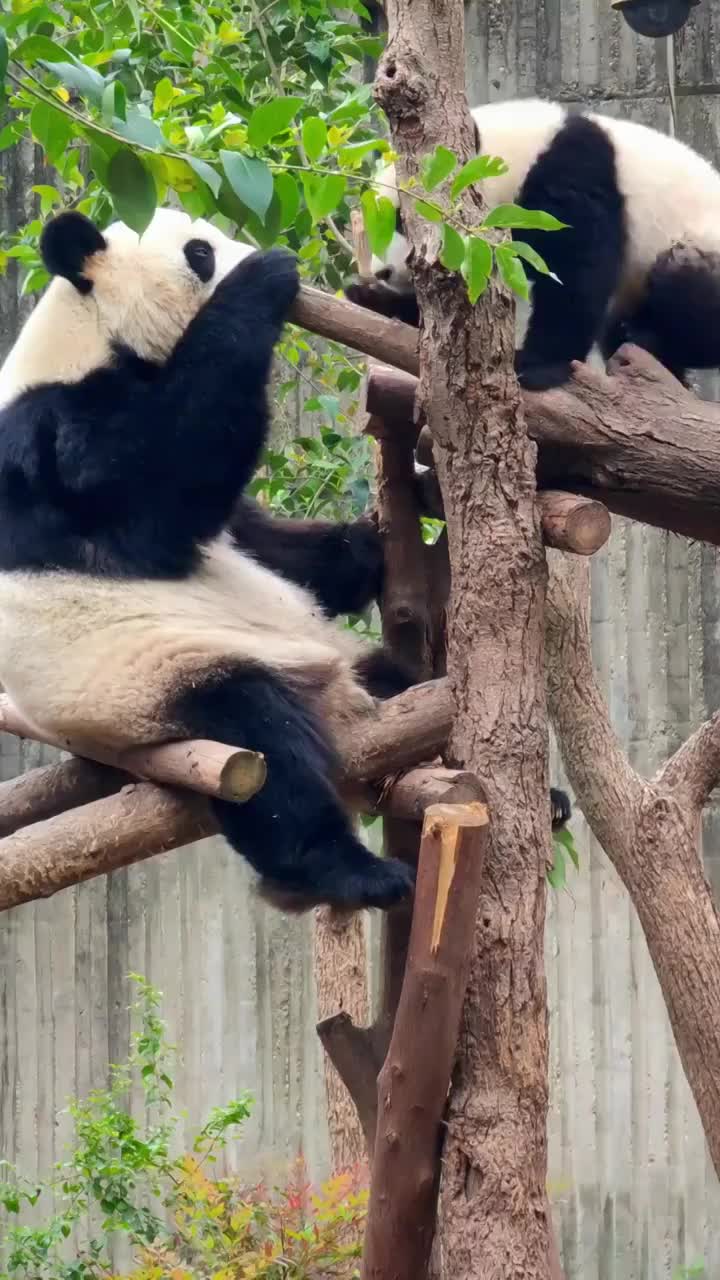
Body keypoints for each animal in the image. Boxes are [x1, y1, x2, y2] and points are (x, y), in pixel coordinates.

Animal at [0, 207, 568, 911]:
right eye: (199, 252)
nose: (254, 257)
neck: (86, 335)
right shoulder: (52, 439)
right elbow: (152, 488)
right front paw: (264, 276)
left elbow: (252, 535)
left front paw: (366, 550)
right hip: (153, 691)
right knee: (266, 751)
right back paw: (352, 871)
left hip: (330, 665)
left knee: (398, 687)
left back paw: (533, 794)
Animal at [343, 96, 720, 389]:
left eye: (402, 221)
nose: (384, 272)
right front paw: (368, 297)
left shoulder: (572, 178)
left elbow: (575, 271)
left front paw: (537, 365)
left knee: (682, 288)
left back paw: (647, 336)